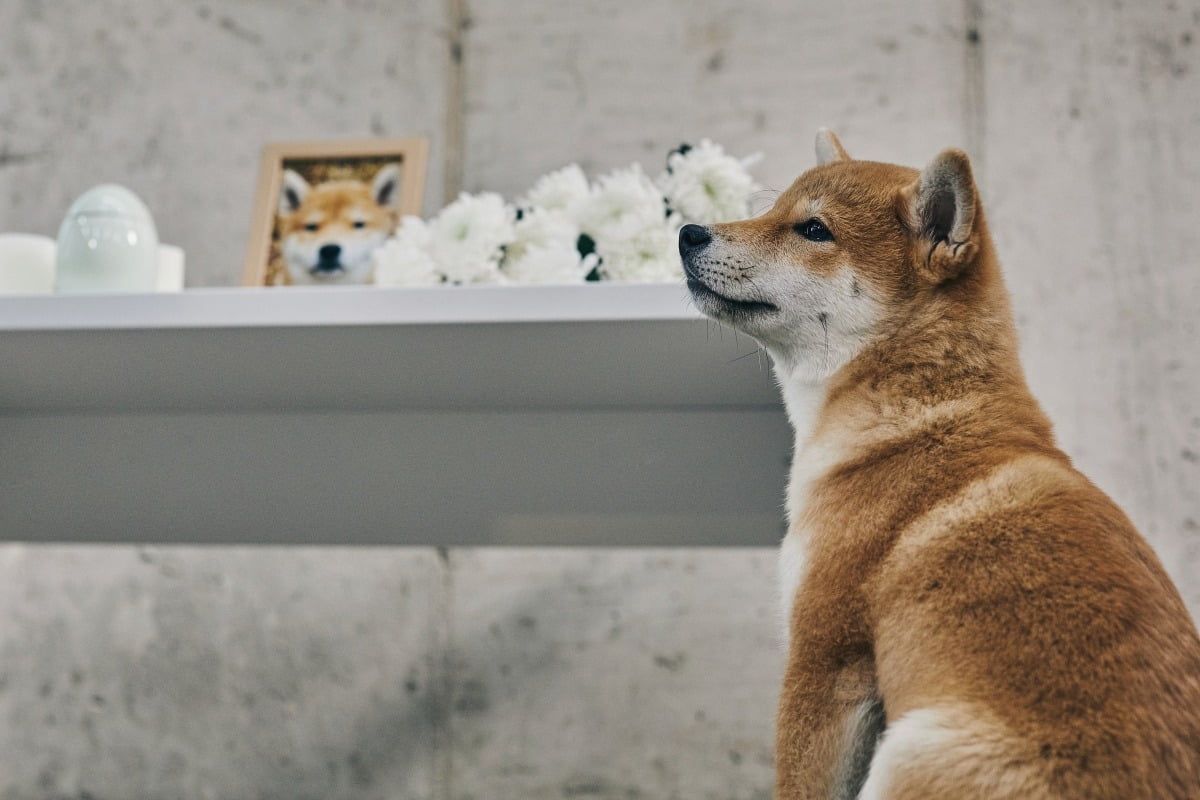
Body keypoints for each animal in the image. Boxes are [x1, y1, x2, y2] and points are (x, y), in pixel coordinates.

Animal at [681, 128, 1200, 796]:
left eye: (814, 230)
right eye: (772, 210)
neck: (917, 417)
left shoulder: (824, 660)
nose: (688, 233)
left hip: (914, 750)